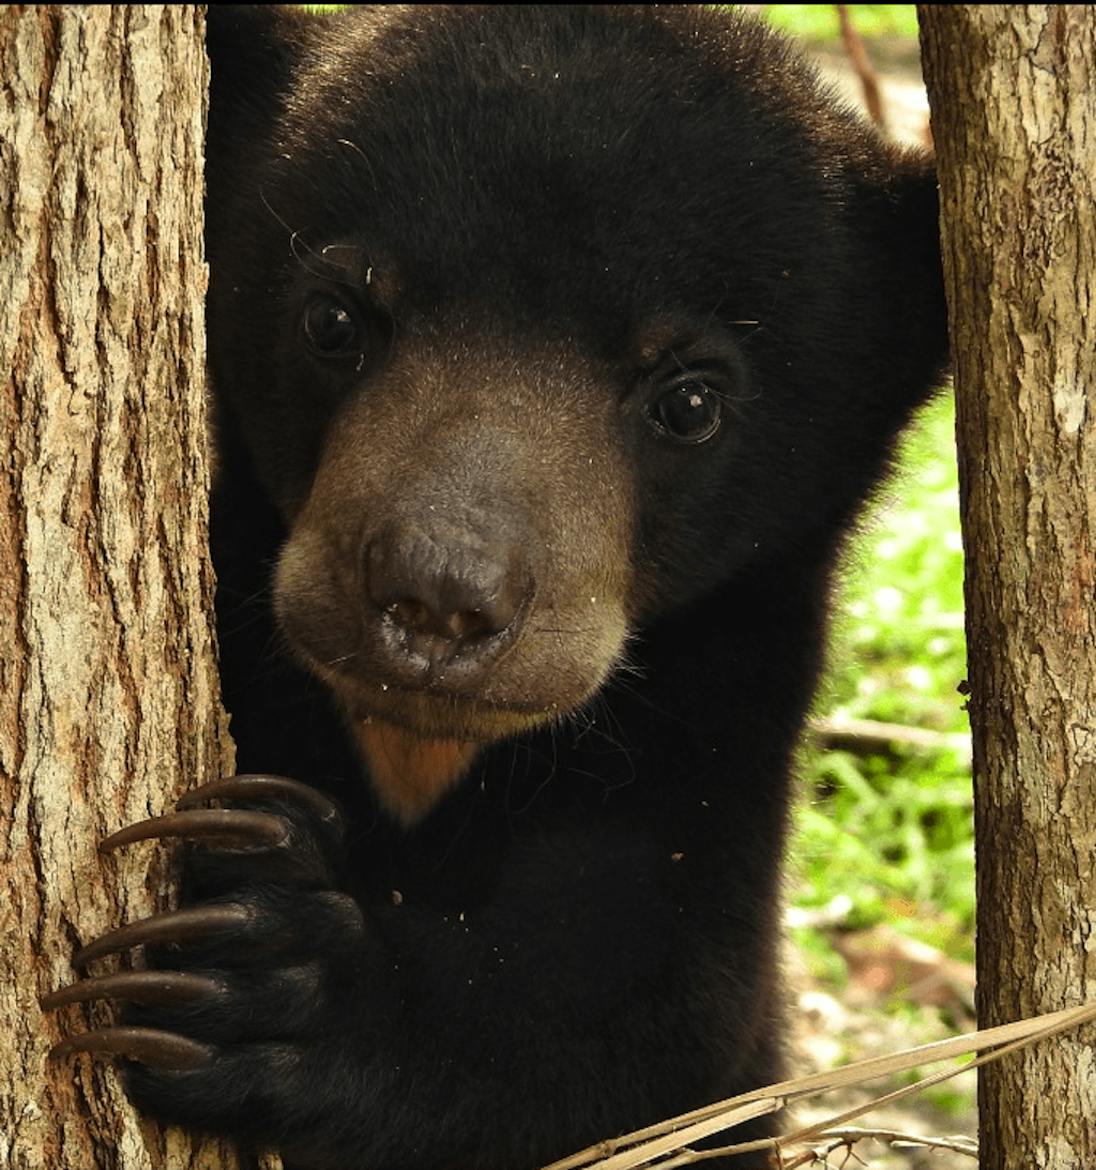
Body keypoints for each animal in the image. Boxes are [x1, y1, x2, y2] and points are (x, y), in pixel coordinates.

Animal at [45, 9, 949, 1170]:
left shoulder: (700, 760)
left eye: (691, 399)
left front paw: (258, 967)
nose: (436, 596)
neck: (417, 755)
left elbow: (640, 1043)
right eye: (335, 319)